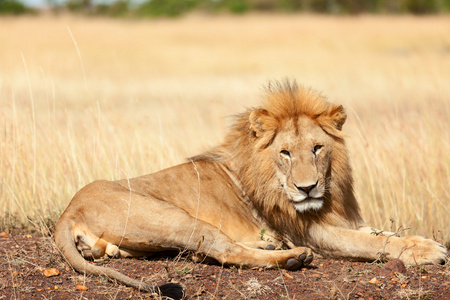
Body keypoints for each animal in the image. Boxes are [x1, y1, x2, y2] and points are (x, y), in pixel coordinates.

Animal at [53, 79, 446, 298]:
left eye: (317, 148)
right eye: (285, 153)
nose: (307, 188)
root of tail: (67, 211)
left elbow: (381, 233)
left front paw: (421, 242)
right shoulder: (313, 231)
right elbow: (372, 243)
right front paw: (429, 252)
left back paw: (269, 245)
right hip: (175, 217)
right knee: (223, 251)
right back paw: (292, 257)